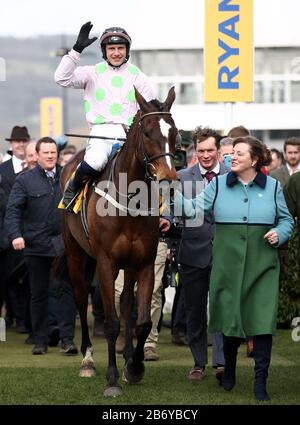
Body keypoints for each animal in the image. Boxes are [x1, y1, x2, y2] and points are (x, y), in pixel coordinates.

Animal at [60, 87, 178, 398]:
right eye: (147, 132)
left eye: (174, 132)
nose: (168, 177)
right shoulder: (105, 261)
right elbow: (111, 322)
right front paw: (111, 378)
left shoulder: (145, 261)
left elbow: (143, 320)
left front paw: (134, 367)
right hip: (76, 253)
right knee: (80, 298)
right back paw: (88, 360)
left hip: (128, 265)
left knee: (126, 301)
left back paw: (126, 358)